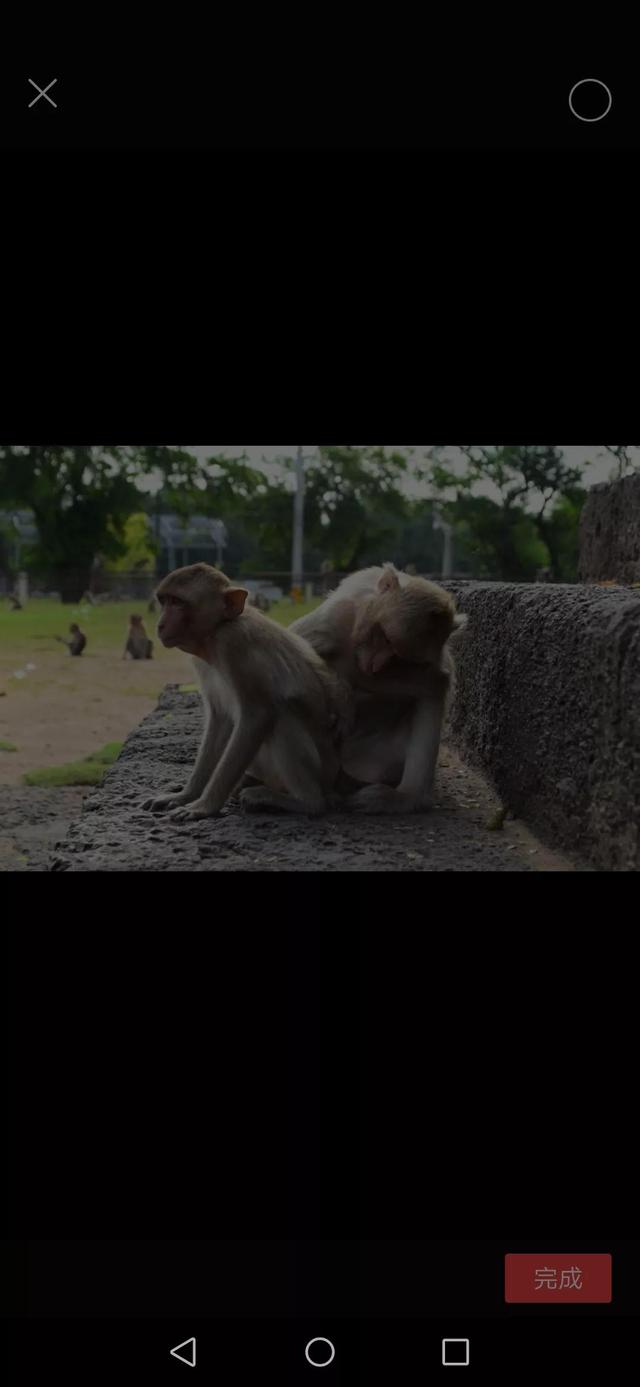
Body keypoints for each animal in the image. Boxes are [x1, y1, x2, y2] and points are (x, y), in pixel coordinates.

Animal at [140, 563, 351, 821]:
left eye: (178, 602)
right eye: (165, 601)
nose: (160, 624)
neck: (216, 634)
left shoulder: (234, 644)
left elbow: (257, 715)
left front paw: (205, 805)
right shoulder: (202, 661)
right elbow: (220, 720)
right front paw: (186, 795)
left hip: (320, 771)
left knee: (282, 717)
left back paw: (303, 802)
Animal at [288, 563, 463, 810]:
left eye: (399, 657)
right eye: (386, 638)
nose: (375, 665)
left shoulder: (426, 662)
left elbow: (433, 685)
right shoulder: (336, 617)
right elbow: (295, 643)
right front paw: (343, 696)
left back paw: (408, 796)